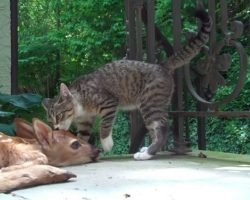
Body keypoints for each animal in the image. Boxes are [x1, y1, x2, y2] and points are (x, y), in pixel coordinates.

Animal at [42, 9, 211, 160]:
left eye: (59, 115)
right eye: (50, 120)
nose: (56, 128)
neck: (80, 106)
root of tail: (161, 65)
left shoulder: (108, 103)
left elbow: (105, 125)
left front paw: (107, 143)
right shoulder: (85, 123)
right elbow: (82, 137)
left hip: (149, 104)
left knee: (163, 130)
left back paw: (147, 154)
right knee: (156, 131)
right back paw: (147, 150)